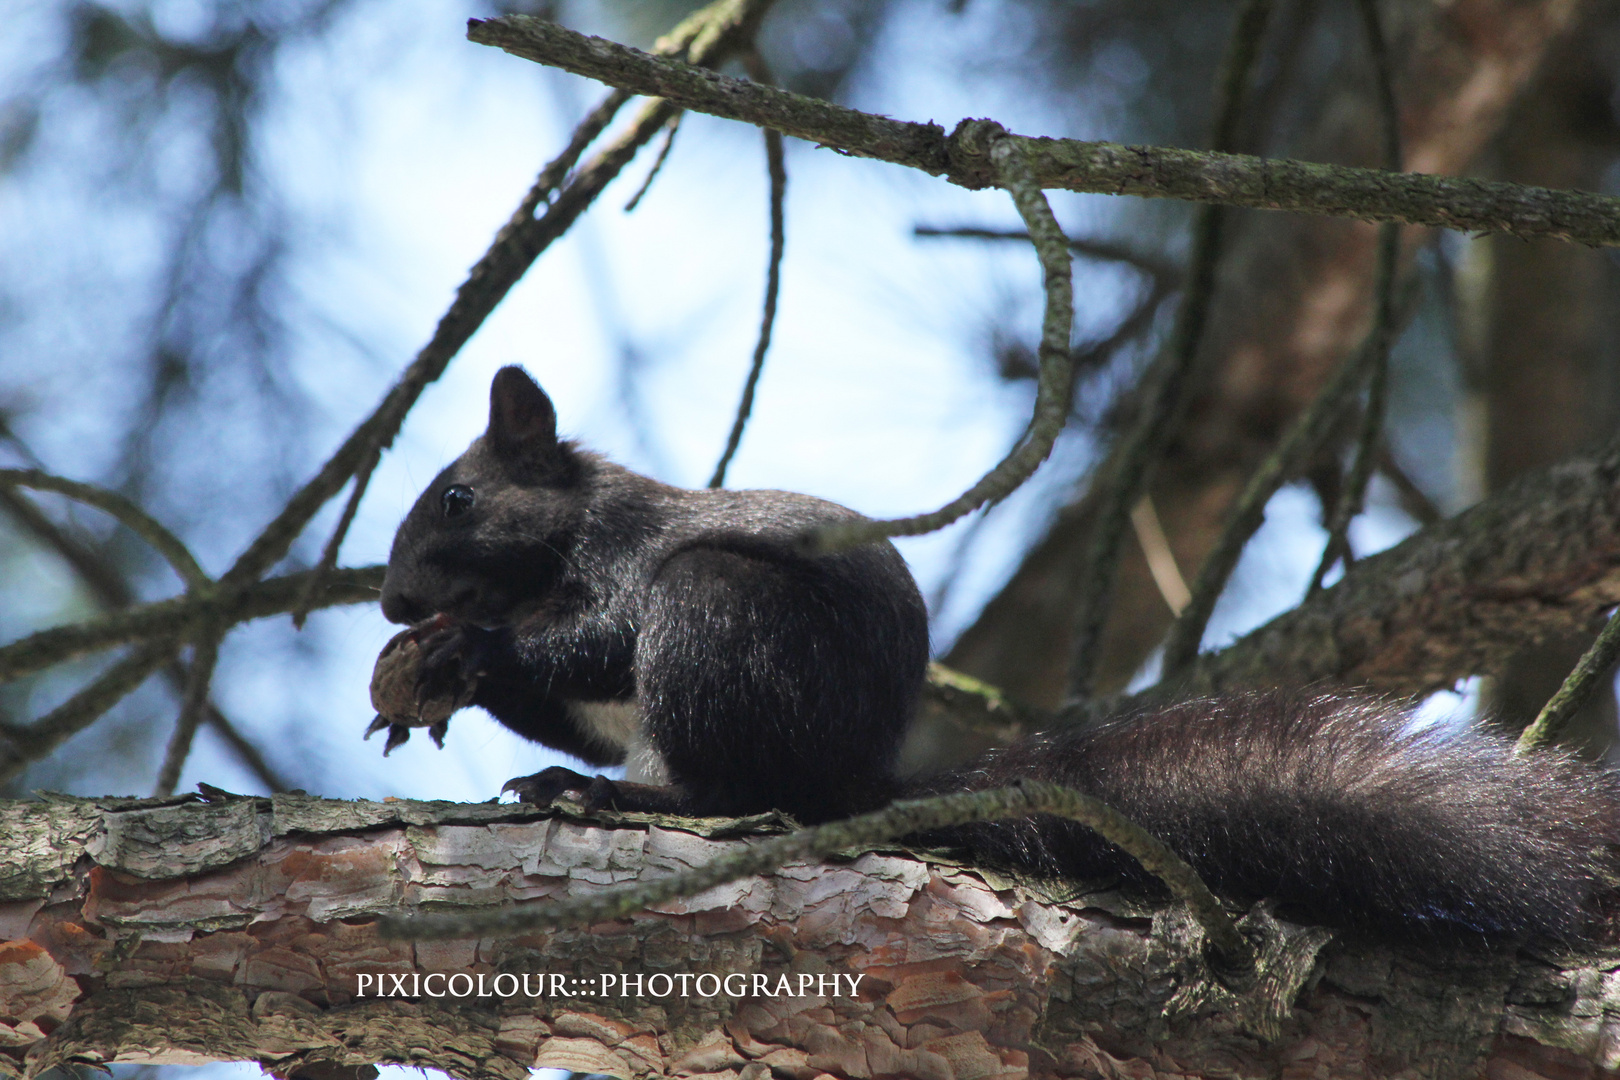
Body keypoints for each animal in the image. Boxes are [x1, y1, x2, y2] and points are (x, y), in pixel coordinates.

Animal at [379, 367, 1620, 939]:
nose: (392, 601)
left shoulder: (633, 562)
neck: (555, 551)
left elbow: (594, 643)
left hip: (719, 620)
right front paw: (424, 692)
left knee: (740, 794)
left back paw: (624, 800)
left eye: (456, 497)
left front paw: (472, 654)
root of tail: (855, 780)